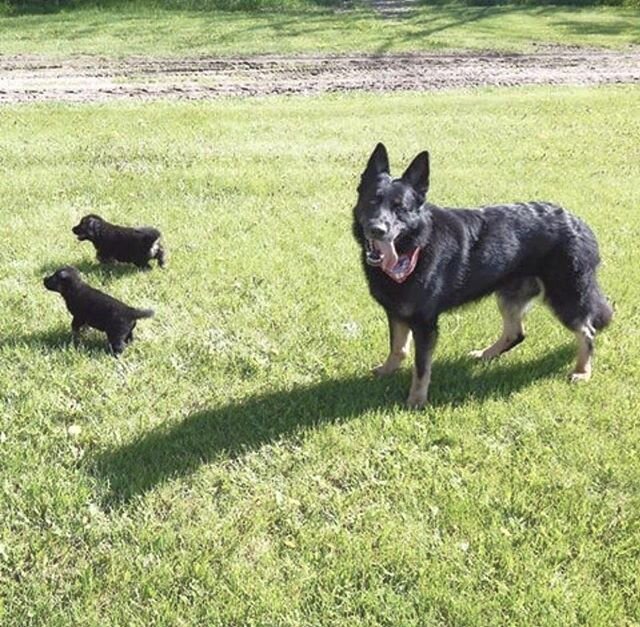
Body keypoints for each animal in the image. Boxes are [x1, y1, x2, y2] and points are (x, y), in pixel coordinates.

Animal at [352, 143, 612, 410]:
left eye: (400, 209)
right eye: (372, 201)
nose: (377, 230)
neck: (416, 246)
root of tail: (579, 223)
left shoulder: (425, 324)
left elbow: (421, 368)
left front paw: (416, 400)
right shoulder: (397, 312)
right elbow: (398, 348)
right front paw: (387, 370)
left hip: (565, 297)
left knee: (587, 331)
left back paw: (582, 371)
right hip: (509, 295)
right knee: (516, 333)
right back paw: (486, 354)